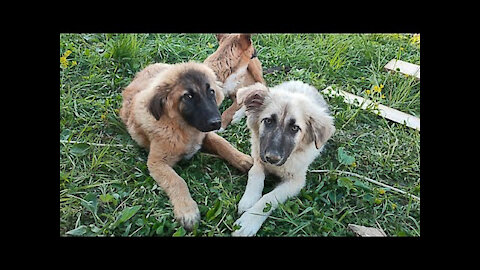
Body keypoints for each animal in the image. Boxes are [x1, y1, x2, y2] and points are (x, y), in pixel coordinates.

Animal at [232, 80, 334, 236]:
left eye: (295, 128)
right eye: (268, 121)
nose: (272, 158)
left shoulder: (296, 181)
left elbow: (269, 198)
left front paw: (249, 220)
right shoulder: (258, 158)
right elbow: (255, 174)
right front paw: (249, 199)